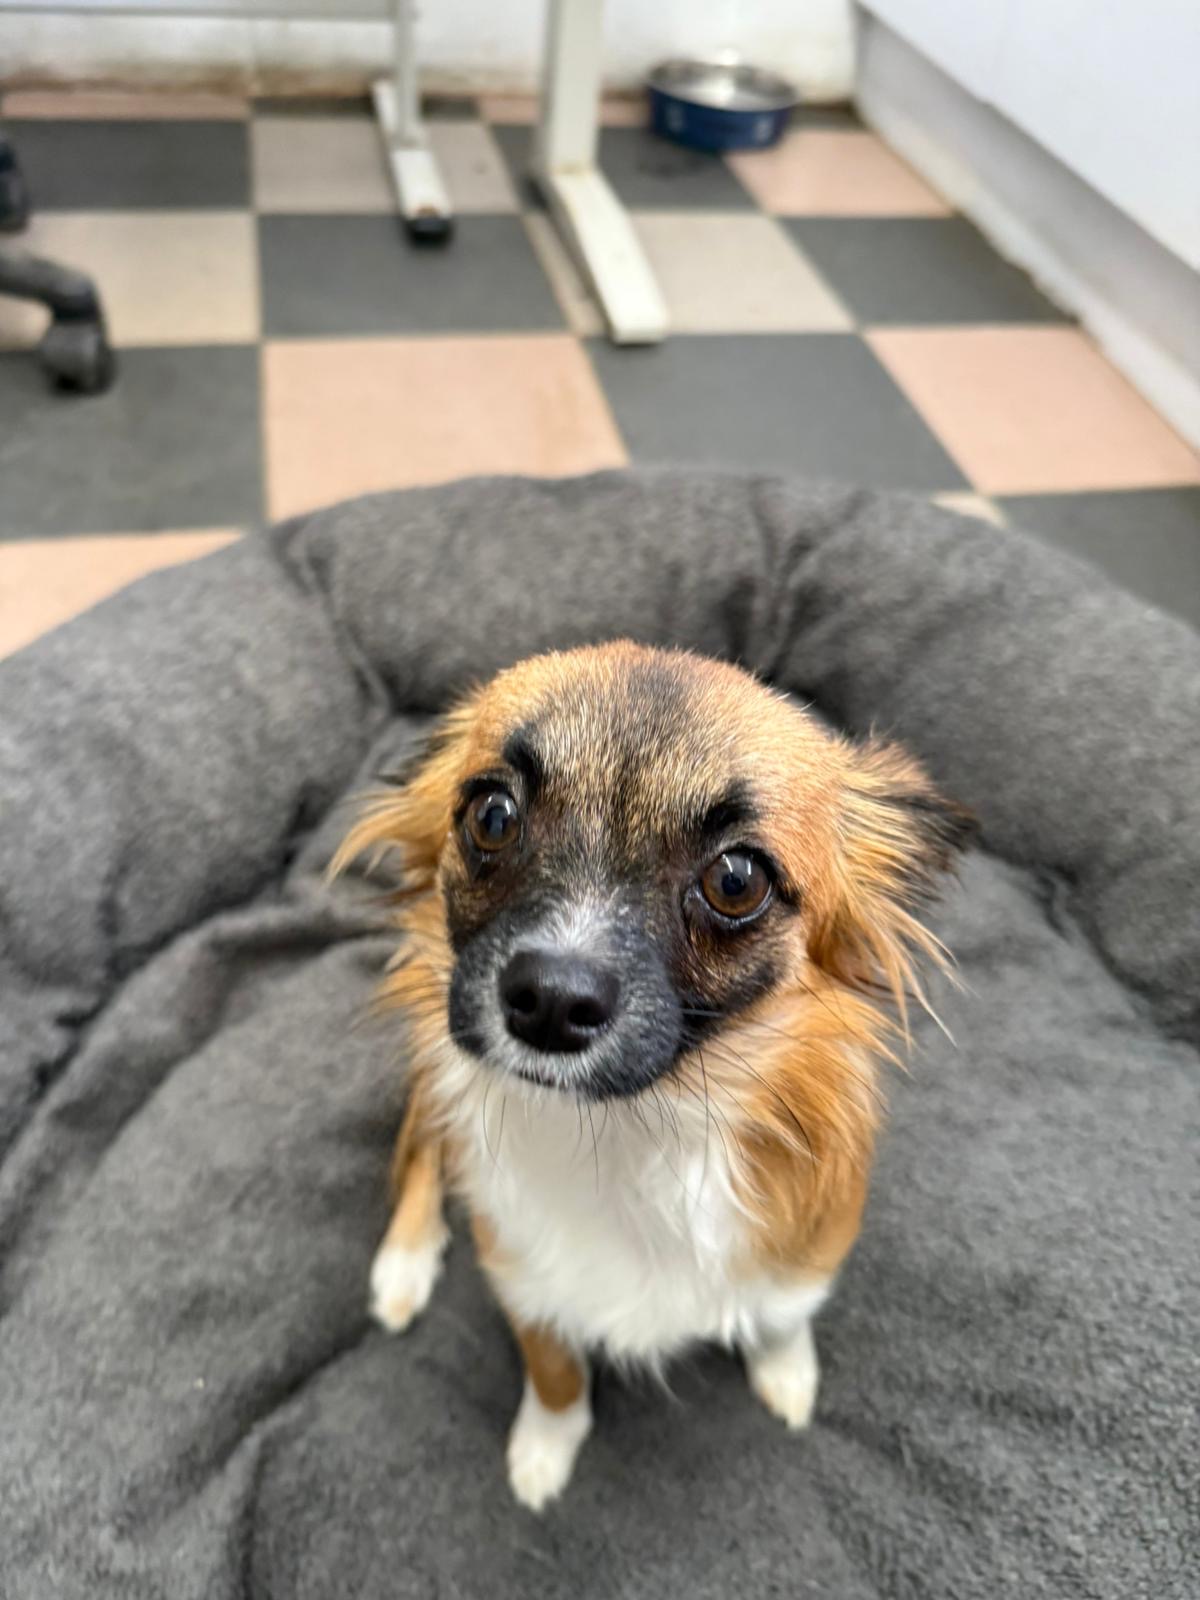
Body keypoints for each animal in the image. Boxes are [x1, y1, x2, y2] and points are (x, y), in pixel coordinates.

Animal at [333, 641, 972, 1510]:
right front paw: (545, 1448)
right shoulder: (524, 1277)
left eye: (736, 880)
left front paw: (785, 1374)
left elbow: (782, 1312)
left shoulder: (808, 1241)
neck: (629, 1129)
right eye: (492, 816)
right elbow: (555, 1368)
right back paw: (402, 1265)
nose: (550, 999)